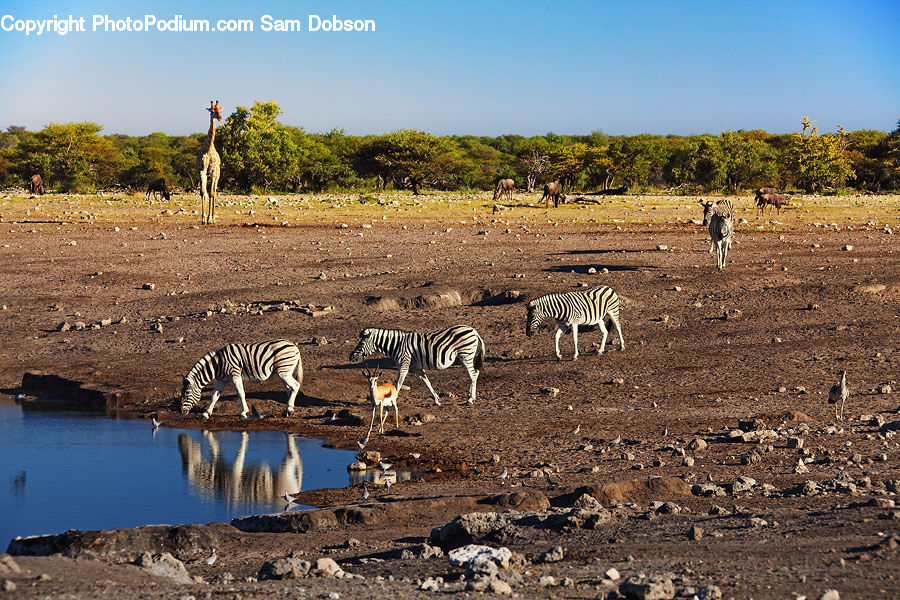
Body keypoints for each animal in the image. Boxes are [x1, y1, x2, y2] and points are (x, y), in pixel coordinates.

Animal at [349, 325, 485, 405]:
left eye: (361, 344)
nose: (350, 357)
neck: (396, 345)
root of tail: (473, 330)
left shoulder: (404, 364)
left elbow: (398, 383)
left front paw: (393, 400)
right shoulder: (417, 368)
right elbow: (427, 382)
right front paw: (436, 400)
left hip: (466, 355)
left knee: (473, 375)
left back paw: (470, 399)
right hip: (465, 357)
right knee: (475, 373)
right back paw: (470, 395)